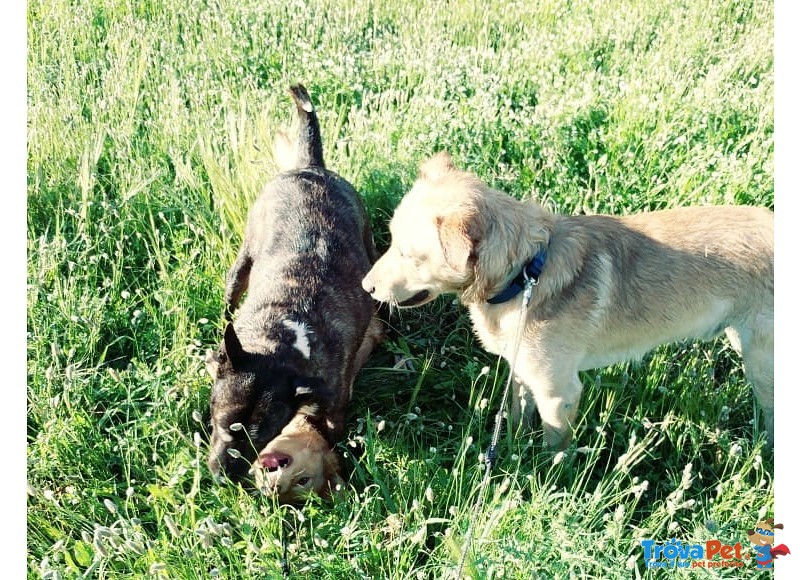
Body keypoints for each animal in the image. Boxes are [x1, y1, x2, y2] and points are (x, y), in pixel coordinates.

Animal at [362, 152, 776, 450]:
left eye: (409, 255)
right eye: (389, 239)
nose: (365, 287)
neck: (526, 272)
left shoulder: (559, 393)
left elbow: (554, 451)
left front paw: (545, 482)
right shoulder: (522, 375)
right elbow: (516, 418)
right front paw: (511, 451)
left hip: (762, 365)